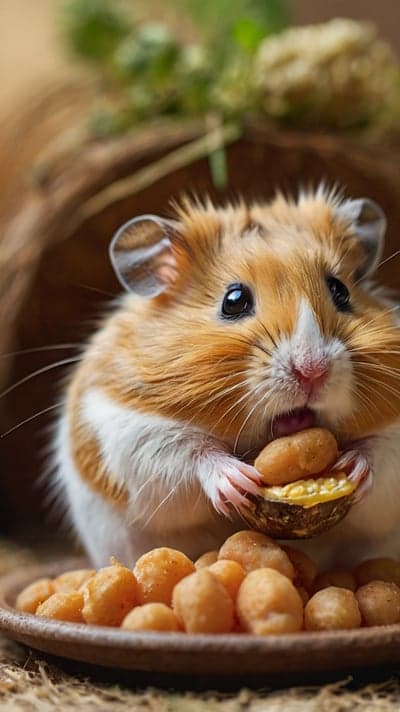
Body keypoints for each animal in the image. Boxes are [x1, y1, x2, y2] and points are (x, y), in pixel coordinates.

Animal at [53, 186, 400, 569]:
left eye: (340, 291)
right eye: (233, 301)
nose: (312, 370)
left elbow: (381, 452)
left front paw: (354, 466)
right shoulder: (125, 426)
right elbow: (188, 453)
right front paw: (238, 479)